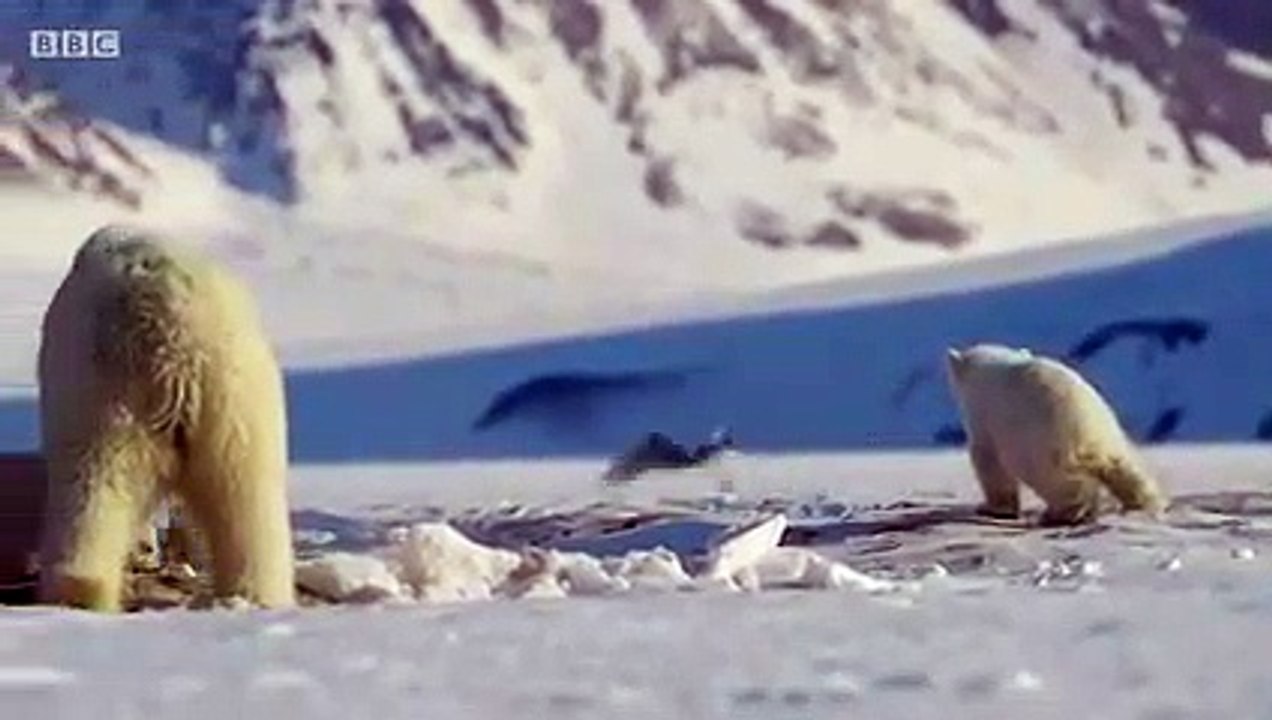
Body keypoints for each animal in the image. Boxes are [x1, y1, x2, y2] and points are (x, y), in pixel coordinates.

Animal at [944, 343, 1167, 526]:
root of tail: (1089, 435)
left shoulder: (985, 416)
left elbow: (989, 461)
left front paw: (991, 509)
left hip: (1044, 447)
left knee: (1062, 484)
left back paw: (1058, 515)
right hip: (1113, 436)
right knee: (1128, 471)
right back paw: (1141, 505)